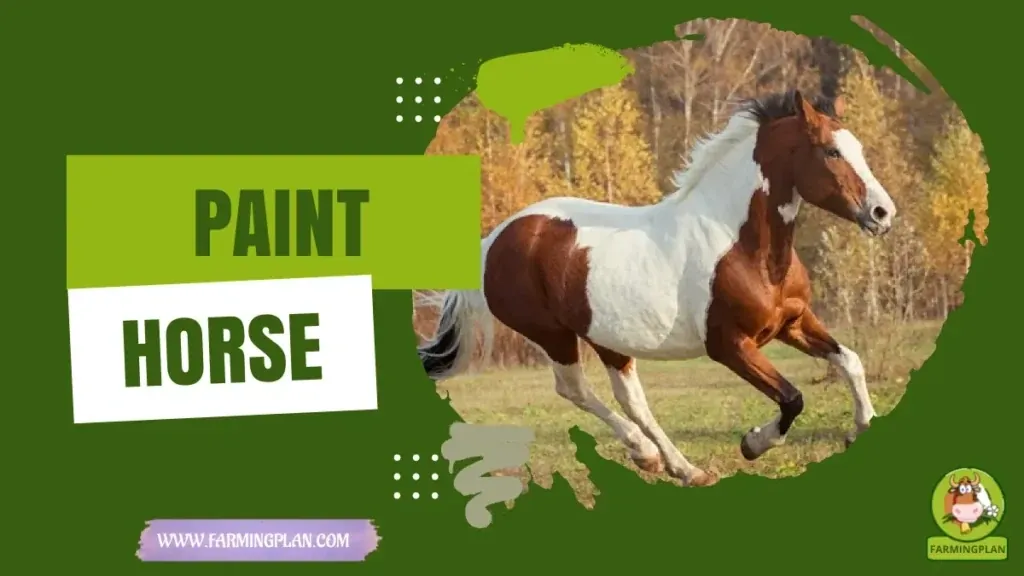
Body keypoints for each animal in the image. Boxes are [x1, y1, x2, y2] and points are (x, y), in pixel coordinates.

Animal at [417, 89, 897, 487]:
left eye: (858, 148)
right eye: (831, 151)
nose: (883, 213)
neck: (740, 244)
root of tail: (494, 240)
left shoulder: (792, 323)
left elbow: (849, 360)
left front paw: (861, 428)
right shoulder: (730, 346)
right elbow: (793, 398)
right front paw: (752, 444)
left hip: (607, 339)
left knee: (631, 400)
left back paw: (680, 468)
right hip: (553, 334)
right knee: (575, 389)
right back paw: (648, 455)